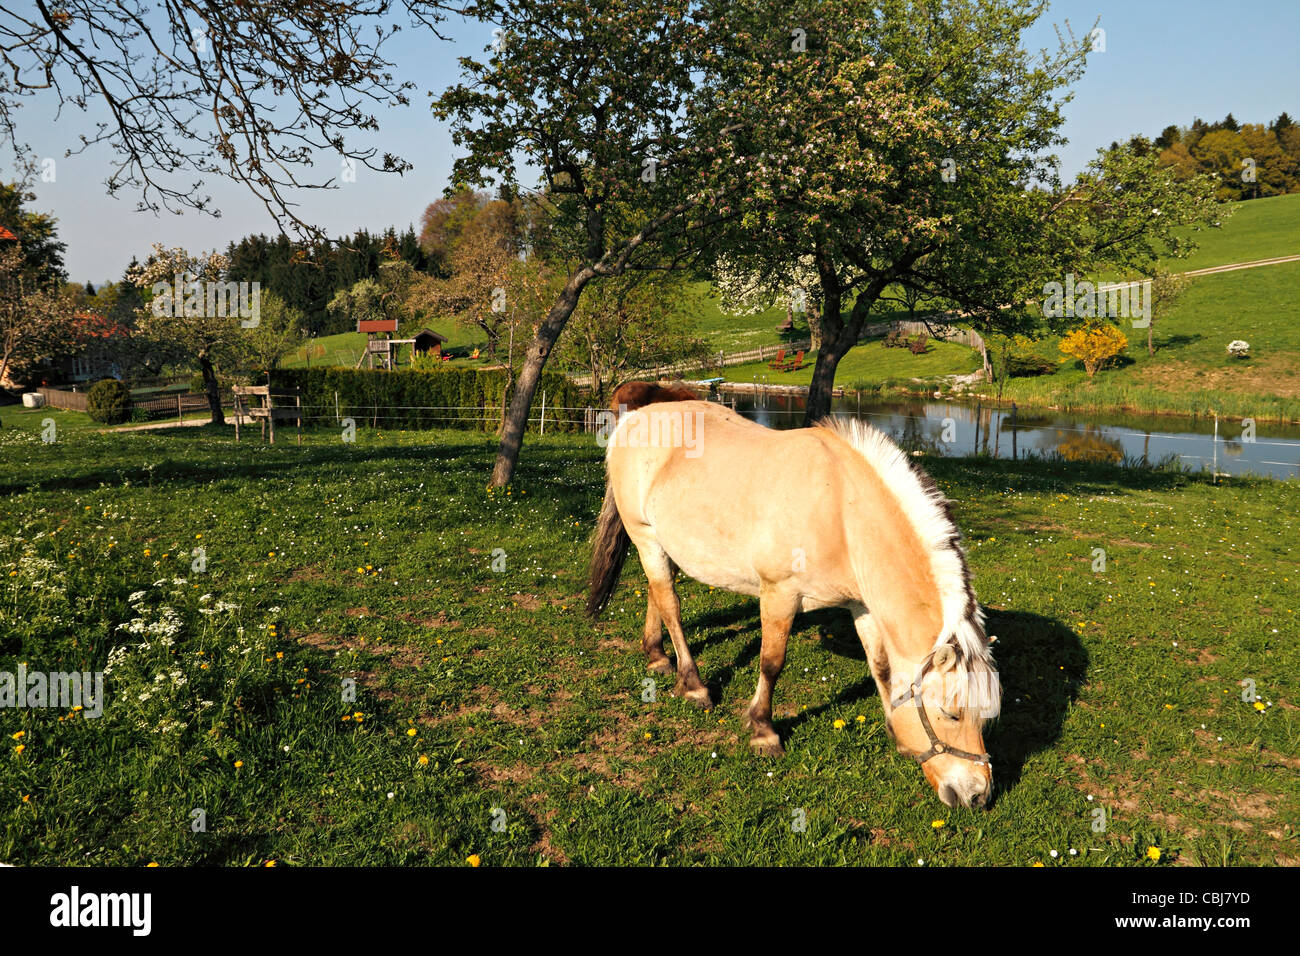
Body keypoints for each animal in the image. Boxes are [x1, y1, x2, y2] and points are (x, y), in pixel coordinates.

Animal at [590, 385, 1003, 811]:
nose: (978, 795)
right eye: (951, 714)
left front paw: (896, 728)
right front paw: (763, 731)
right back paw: (693, 685)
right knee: (670, 604)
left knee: (657, 593)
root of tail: (634, 417)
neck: (841, 512)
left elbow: (882, 667)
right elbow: (772, 663)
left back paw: (657, 656)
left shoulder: (863, 606)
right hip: (644, 536)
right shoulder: (779, 594)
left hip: (661, 544)